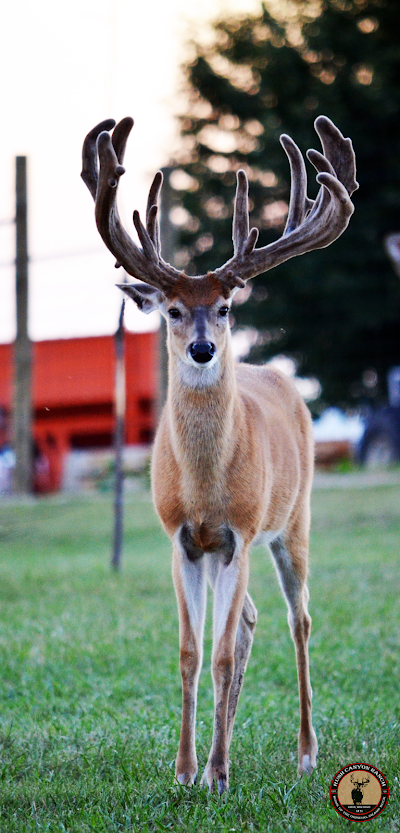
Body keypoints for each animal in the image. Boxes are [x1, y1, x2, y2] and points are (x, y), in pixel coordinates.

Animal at [80, 114, 356, 788]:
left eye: (226, 307)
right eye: (174, 309)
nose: (203, 349)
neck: (206, 487)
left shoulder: (239, 532)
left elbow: (223, 654)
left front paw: (220, 773)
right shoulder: (183, 537)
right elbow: (190, 651)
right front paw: (185, 770)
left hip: (292, 521)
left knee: (298, 620)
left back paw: (305, 752)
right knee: (253, 618)